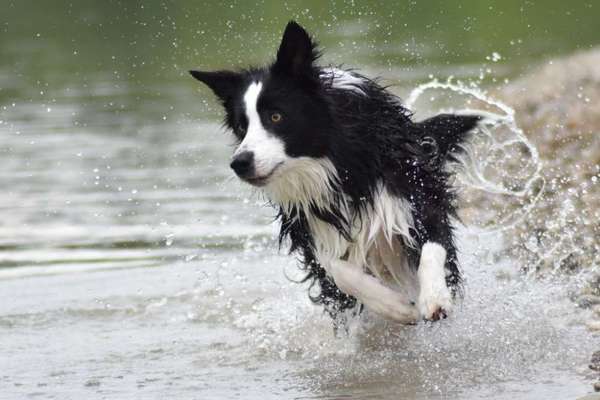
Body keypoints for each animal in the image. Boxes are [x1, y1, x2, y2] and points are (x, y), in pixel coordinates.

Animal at [190, 21, 480, 326]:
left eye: (276, 116)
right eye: (241, 126)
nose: (240, 162)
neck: (337, 162)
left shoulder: (415, 191)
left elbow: (432, 245)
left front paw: (434, 299)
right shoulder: (308, 220)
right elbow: (338, 269)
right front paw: (397, 307)